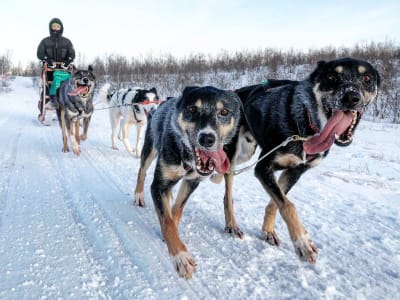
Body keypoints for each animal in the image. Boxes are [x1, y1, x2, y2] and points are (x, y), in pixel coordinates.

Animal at [134, 86, 241, 278]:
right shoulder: (159, 185)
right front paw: (180, 256)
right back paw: (139, 195)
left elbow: (176, 211)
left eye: (223, 112)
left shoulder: (191, 182)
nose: (207, 138)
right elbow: (167, 222)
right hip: (149, 150)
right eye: (192, 109)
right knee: (142, 172)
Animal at [222, 57, 382, 264]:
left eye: (367, 78)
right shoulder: (263, 167)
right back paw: (232, 224)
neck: (307, 124)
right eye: (332, 77)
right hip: (235, 155)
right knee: (228, 194)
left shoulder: (295, 171)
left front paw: (268, 231)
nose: (350, 97)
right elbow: (288, 205)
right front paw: (303, 242)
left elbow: (277, 202)